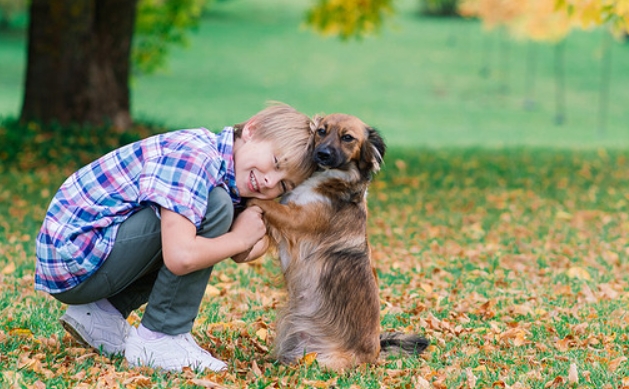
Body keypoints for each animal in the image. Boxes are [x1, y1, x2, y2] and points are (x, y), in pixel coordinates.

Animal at [248, 113, 430, 370]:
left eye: (347, 138)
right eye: (321, 131)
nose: (321, 154)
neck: (331, 179)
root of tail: (374, 354)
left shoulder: (294, 219)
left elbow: (262, 201)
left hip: (321, 358)